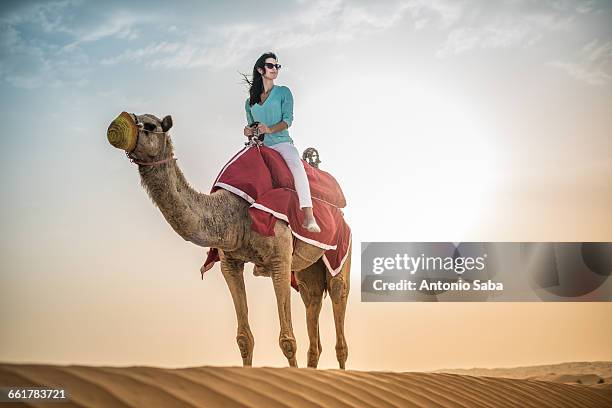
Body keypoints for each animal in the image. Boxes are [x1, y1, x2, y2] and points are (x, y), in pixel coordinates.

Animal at [107, 112, 352, 370]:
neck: (234, 211)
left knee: (338, 299)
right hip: (307, 270)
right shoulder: (230, 262)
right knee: (312, 300)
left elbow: (288, 339)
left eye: (151, 125)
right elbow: (244, 338)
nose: (117, 125)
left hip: (342, 248)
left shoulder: (280, 260)